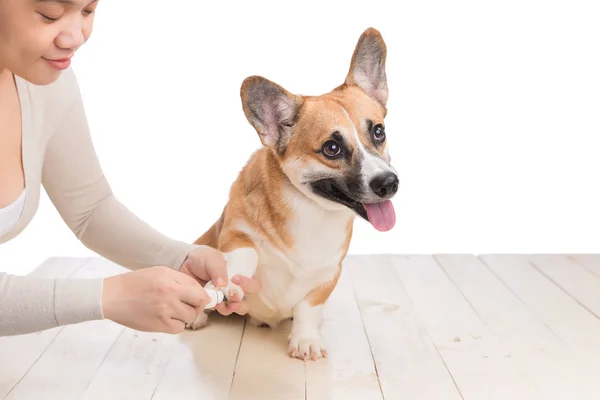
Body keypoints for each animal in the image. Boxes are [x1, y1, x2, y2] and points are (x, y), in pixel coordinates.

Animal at [185, 26, 396, 360]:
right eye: (331, 148)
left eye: (378, 131)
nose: (389, 183)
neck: (311, 210)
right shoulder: (235, 232)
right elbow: (245, 253)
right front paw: (230, 284)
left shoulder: (328, 274)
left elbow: (309, 307)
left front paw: (306, 339)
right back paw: (196, 315)